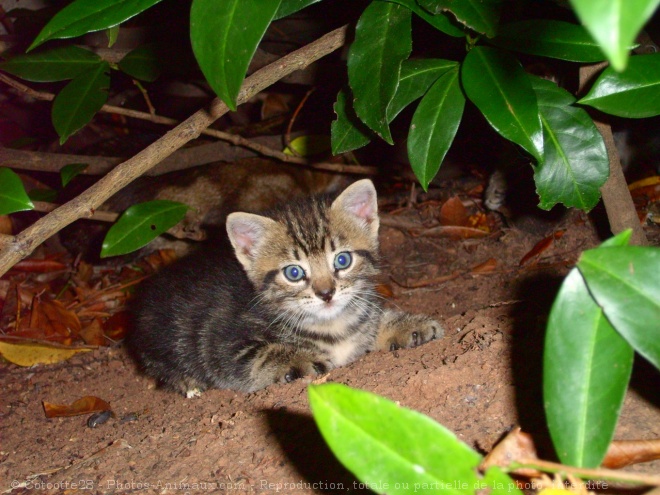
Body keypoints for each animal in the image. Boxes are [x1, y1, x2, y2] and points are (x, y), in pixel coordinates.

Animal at [127, 180, 444, 398]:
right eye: (294, 273)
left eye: (342, 260)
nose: (326, 294)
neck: (331, 325)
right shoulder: (219, 344)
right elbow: (259, 355)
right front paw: (300, 357)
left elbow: (372, 323)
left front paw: (406, 325)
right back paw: (188, 383)